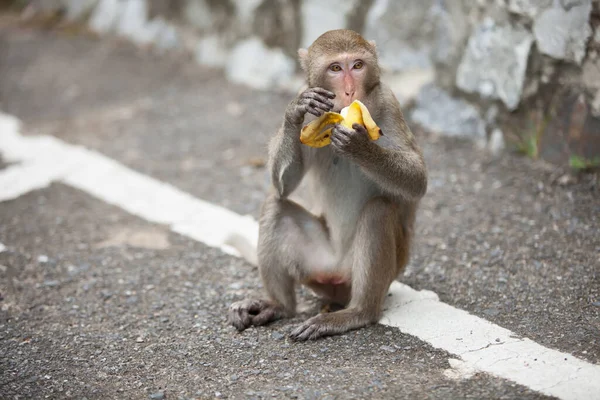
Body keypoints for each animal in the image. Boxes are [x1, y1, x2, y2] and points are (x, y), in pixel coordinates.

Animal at [227, 28, 428, 340]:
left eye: (357, 66)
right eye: (335, 68)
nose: (349, 91)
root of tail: (338, 281)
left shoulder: (390, 103)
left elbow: (418, 181)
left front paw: (361, 148)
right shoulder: (313, 113)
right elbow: (283, 186)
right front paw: (293, 111)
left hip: (368, 272)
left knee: (379, 210)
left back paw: (358, 313)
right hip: (318, 262)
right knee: (274, 204)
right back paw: (278, 305)